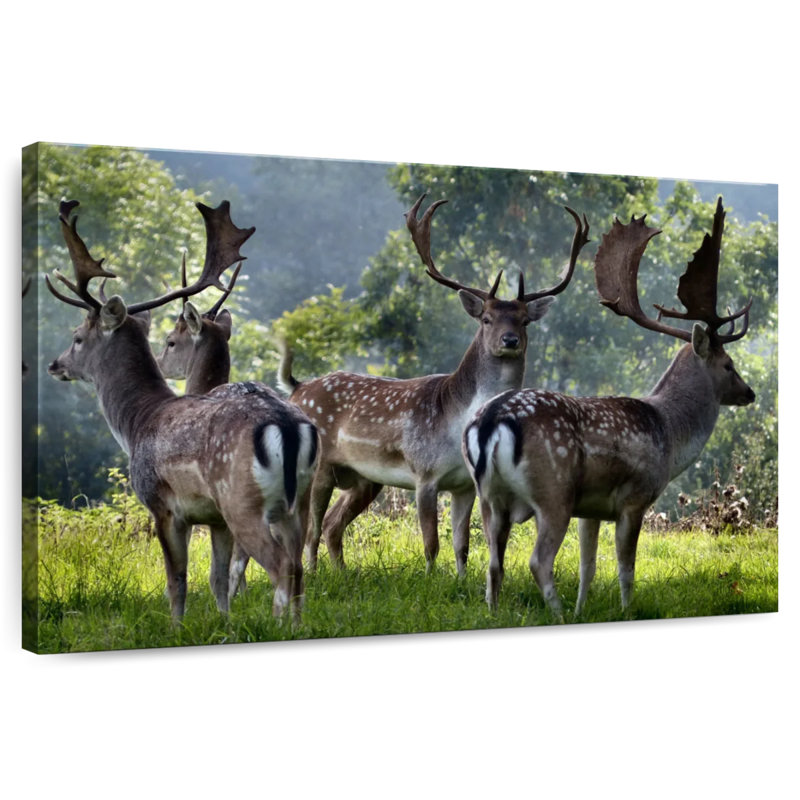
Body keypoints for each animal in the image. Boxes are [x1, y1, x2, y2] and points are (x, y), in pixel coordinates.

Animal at [46, 199, 318, 623]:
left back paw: (281, 627)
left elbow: (177, 580)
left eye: (77, 338)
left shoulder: (162, 504)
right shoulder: (214, 519)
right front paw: (225, 625)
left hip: (241, 500)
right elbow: (217, 579)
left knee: (281, 566)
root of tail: (288, 427)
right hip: (300, 501)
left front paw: (177, 627)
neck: (138, 422)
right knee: (299, 566)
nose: (54, 364)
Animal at [279, 194, 590, 575]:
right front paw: (429, 578)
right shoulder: (423, 474)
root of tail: (297, 388)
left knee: (331, 525)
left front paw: (461, 580)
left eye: (524, 320)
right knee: (310, 528)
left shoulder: (465, 485)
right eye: (487, 318)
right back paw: (313, 573)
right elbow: (431, 542)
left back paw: (341, 571)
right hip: (320, 465)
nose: (510, 340)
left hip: (365, 479)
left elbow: (462, 544)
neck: (456, 426)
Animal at [462, 197, 755, 618]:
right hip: (554, 490)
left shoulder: (591, 509)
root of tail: (489, 421)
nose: (750, 392)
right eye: (729, 365)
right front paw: (624, 610)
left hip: (488, 495)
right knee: (538, 560)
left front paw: (584, 609)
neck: (669, 433)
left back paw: (497, 612)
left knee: (492, 560)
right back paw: (557, 614)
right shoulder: (634, 497)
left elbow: (588, 566)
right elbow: (625, 566)